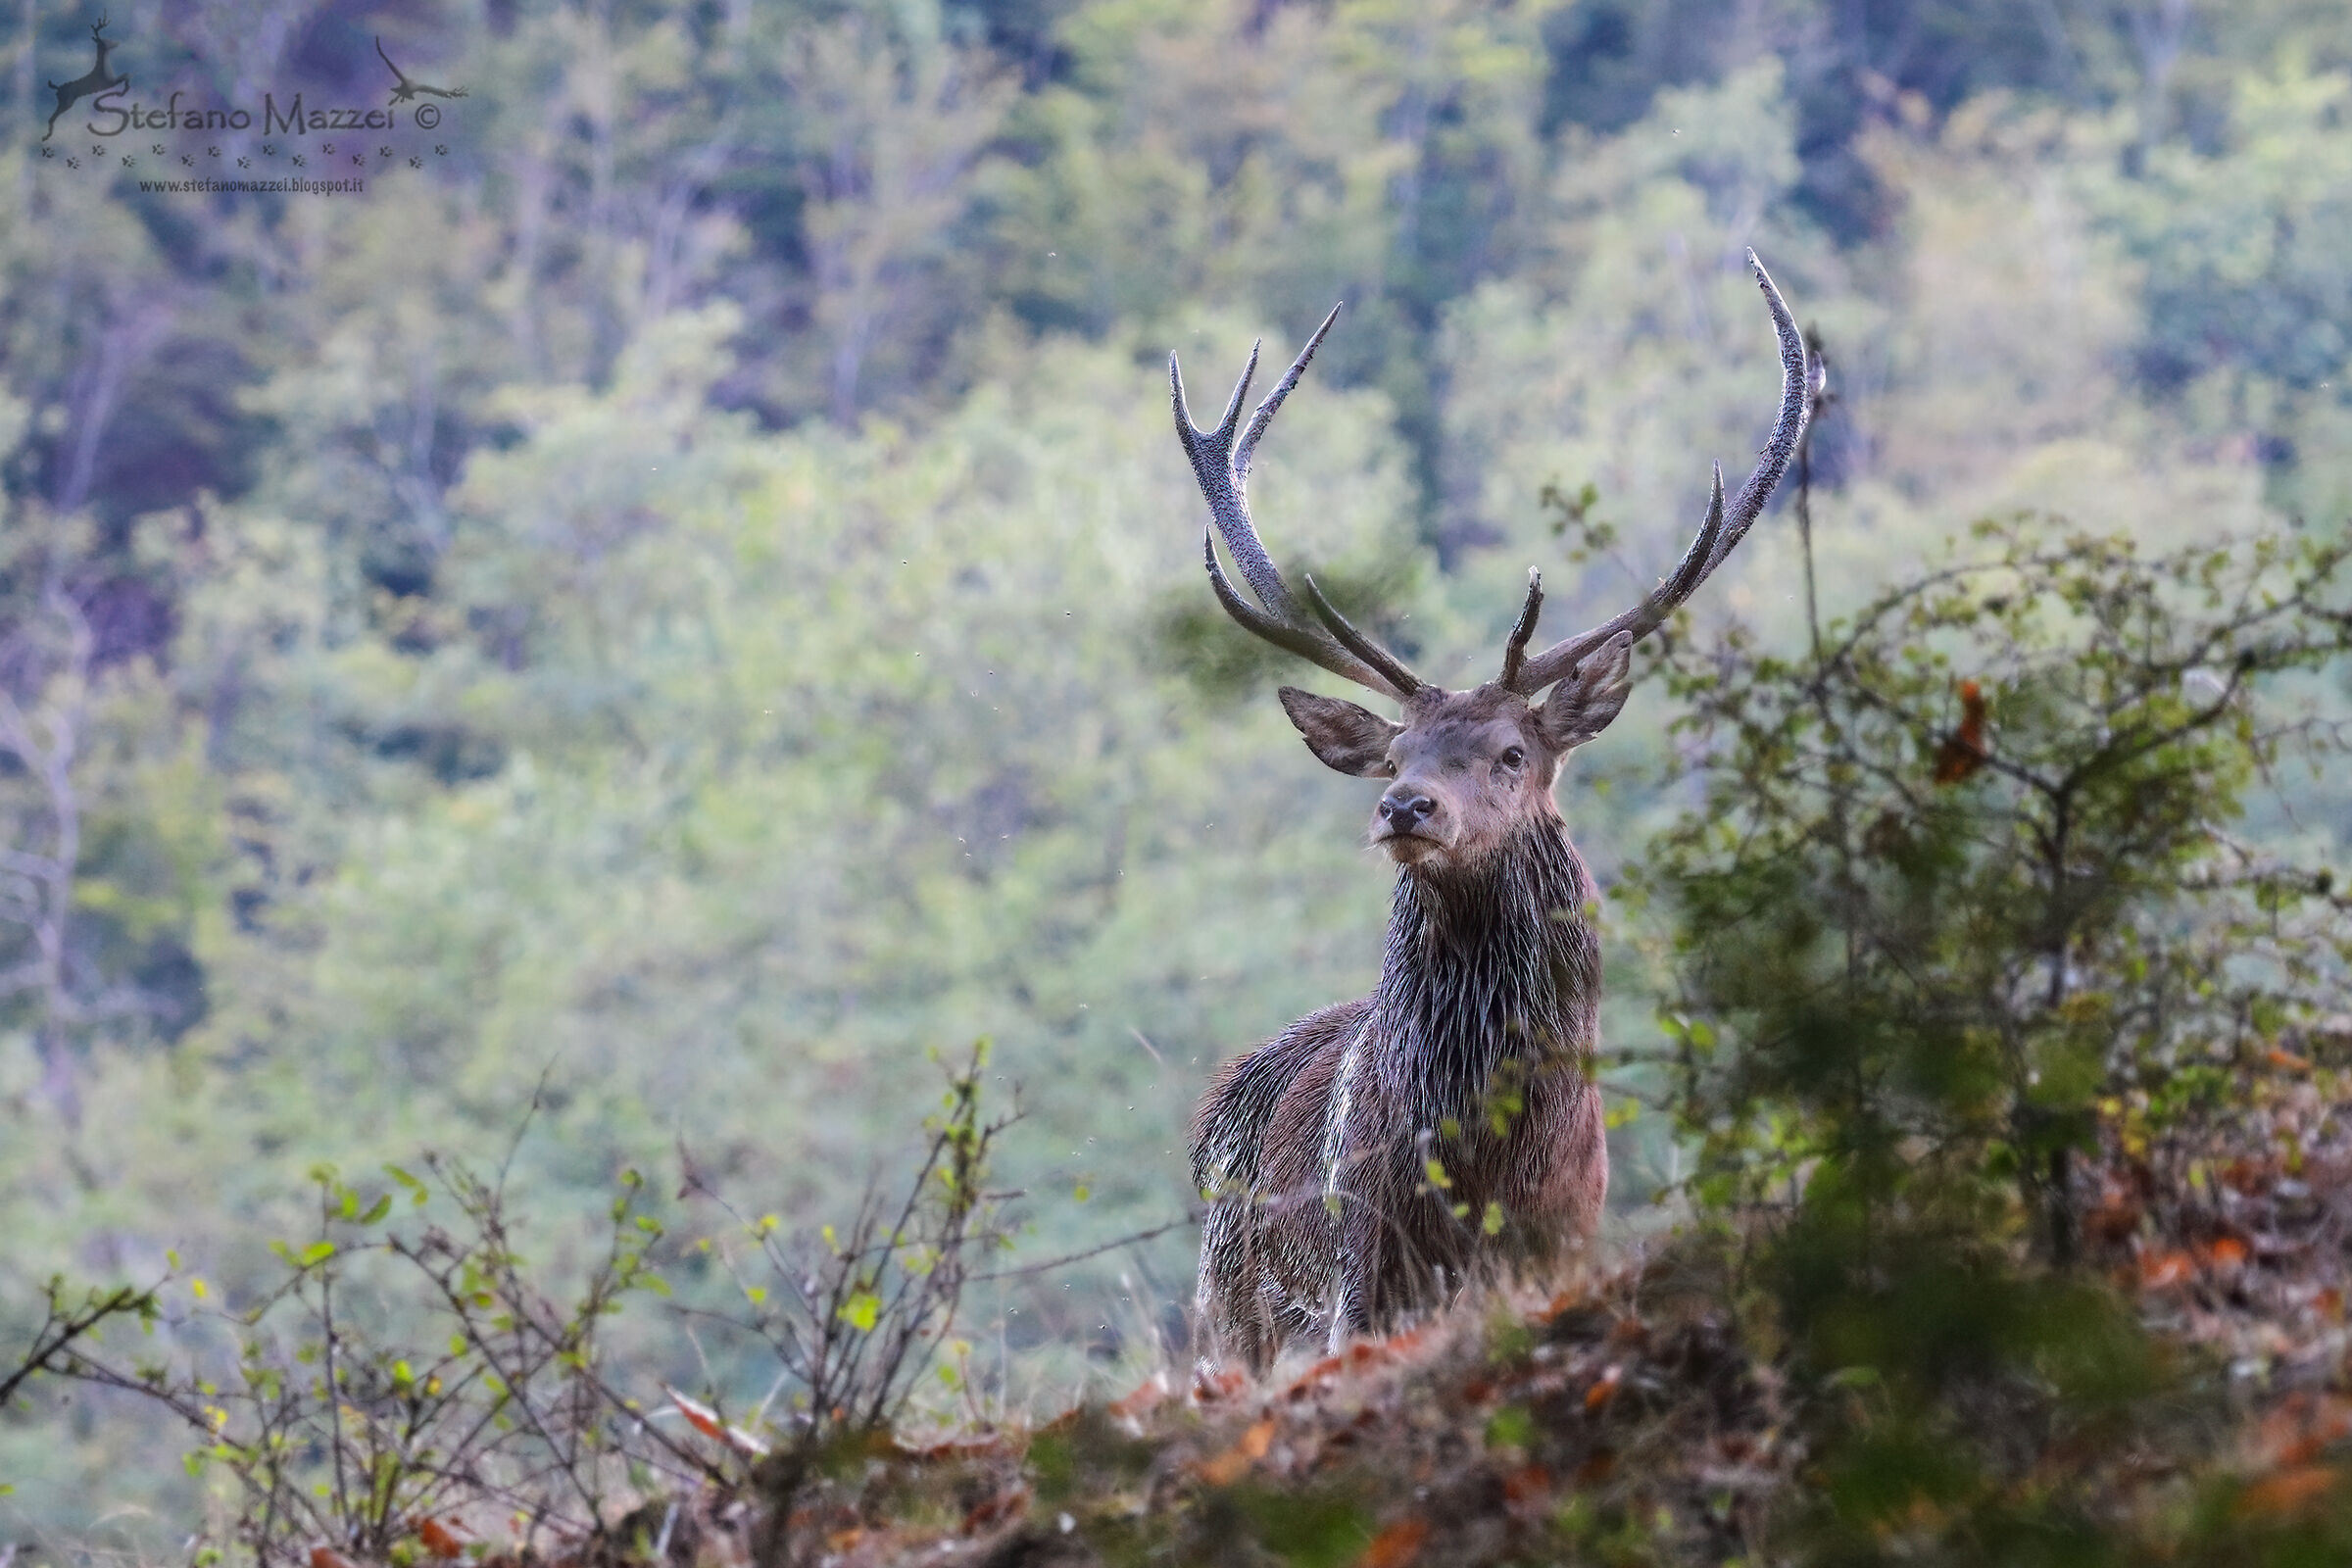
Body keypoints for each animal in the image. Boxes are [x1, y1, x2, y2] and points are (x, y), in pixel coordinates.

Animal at [44, 16, 126, 144]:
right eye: (105, 41)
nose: (117, 42)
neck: (104, 68)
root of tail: (57, 88)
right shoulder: (109, 82)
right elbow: (126, 75)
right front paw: (123, 91)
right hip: (66, 102)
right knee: (52, 118)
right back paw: (46, 136)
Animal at [1174, 250, 1813, 1372]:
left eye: (1513, 753)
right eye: (1394, 752)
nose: (1405, 807)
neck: (1486, 1159)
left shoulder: (1565, 1235)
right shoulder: (1363, 1276)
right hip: (1226, 1312)